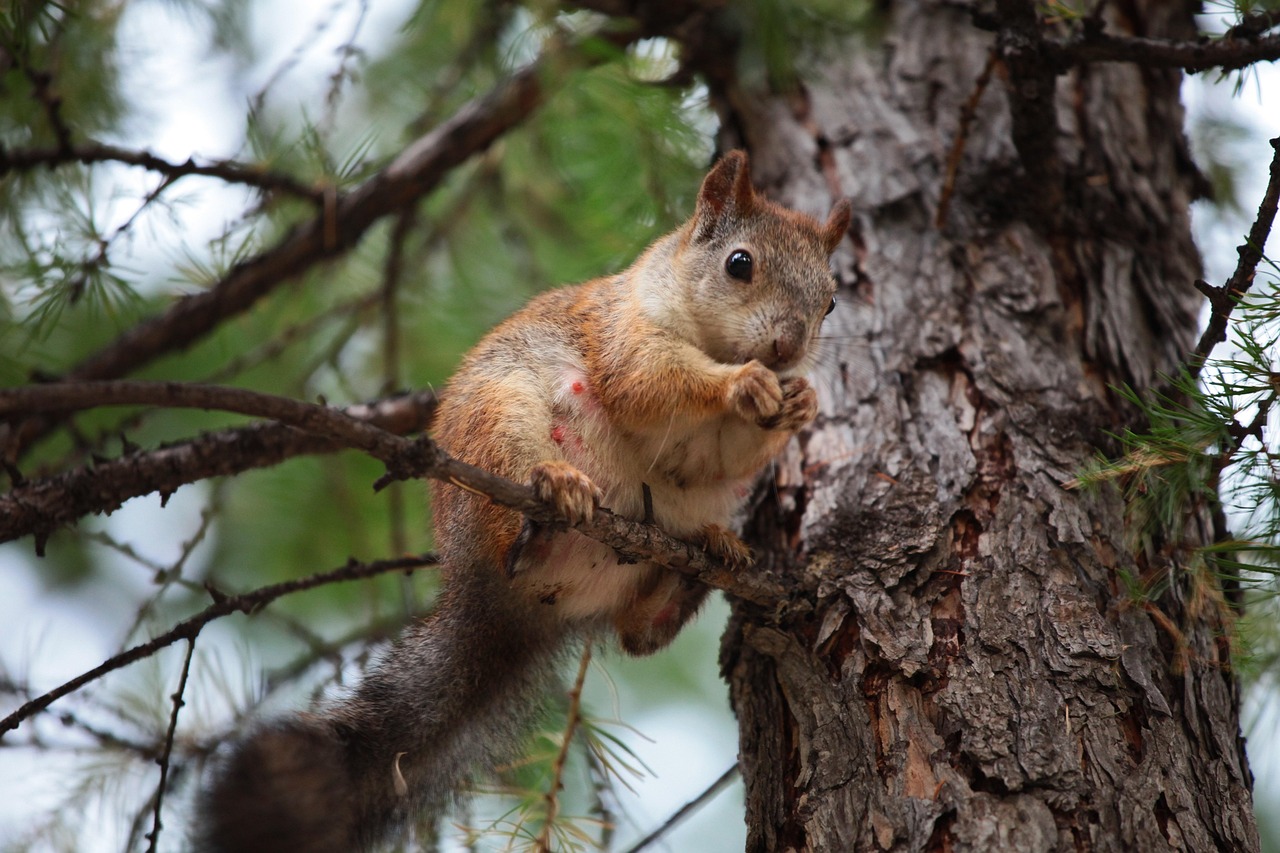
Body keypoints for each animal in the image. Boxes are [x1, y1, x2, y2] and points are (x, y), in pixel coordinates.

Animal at [197, 149, 849, 845]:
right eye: (739, 263)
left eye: (832, 301)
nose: (788, 347)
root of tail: (492, 598)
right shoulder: (621, 334)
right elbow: (650, 383)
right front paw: (742, 384)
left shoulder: (713, 453)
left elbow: (718, 457)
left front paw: (799, 403)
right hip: (499, 422)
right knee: (523, 518)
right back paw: (553, 501)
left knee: (638, 632)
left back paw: (705, 557)